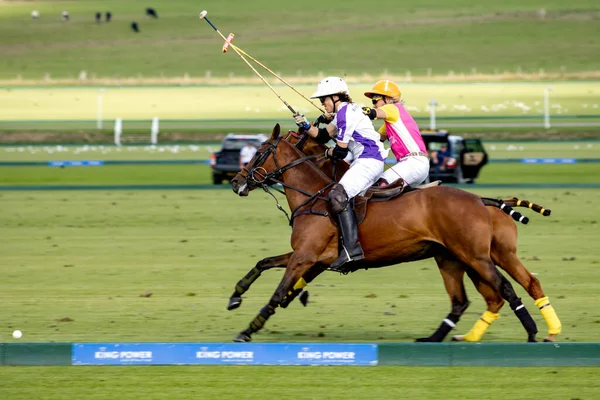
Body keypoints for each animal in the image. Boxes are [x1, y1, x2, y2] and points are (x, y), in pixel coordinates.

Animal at [230, 130, 564, 342]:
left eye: (258, 152)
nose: (236, 182)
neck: (315, 195)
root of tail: (481, 200)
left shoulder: (305, 256)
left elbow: (278, 290)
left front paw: (249, 328)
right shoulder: (312, 257)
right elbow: (264, 262)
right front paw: (236, 296)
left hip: (476, 257)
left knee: (504, 289)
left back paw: (533, 332)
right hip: (457, 258)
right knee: (475, 298)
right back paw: (440, 338)